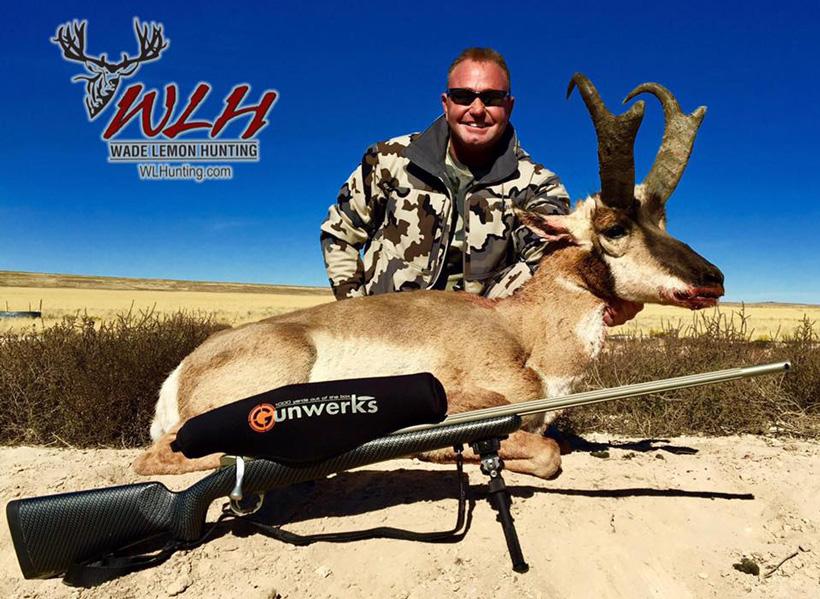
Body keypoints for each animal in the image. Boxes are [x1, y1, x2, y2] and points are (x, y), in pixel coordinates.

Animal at [134, 74, 724, 477]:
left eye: (663, 220)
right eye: (615, 227)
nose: (714, 279)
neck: (522, 331)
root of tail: (181, 372)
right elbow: (546, 451)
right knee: (157, 457)